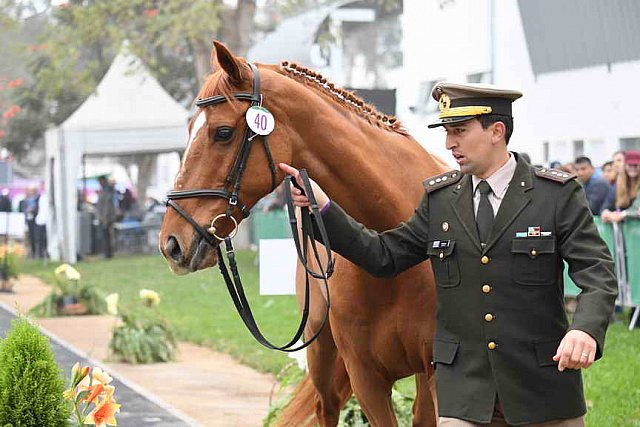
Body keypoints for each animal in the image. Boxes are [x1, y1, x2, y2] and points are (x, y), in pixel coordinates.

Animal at [159, 41, 448, 427]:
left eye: (222, 132)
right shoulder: (367, 379)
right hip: (321, 352)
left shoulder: (436, 373)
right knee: (326, 408)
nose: (171, 243)